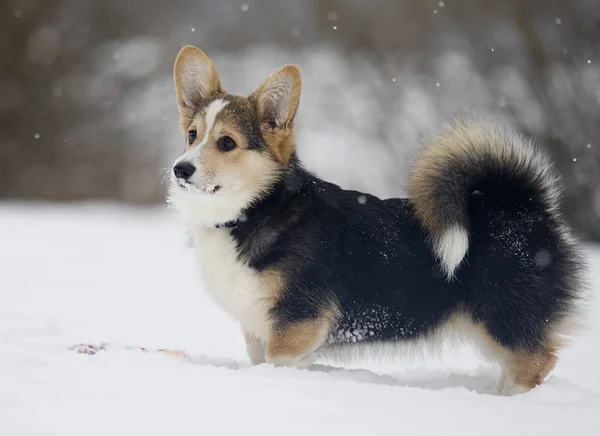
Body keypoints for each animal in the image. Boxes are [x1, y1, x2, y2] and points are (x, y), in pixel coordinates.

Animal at [166, 45, 584, 396]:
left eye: (227, 143)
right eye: (192, 135)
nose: (180, 170)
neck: (256, 209)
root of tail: (526, 207)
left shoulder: (295, 325)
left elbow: (280, 363)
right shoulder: (258, 329)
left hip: (503, 318)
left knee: (535, 362)